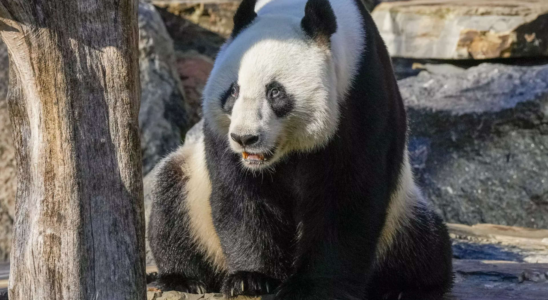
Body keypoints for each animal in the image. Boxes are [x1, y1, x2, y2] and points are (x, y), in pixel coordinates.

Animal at [147, 0, 454, 298]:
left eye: (275, 92)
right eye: (233, 91)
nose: (245, 138)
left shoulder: (362, 95)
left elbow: (348, 195)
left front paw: (316, 286)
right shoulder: (222, 133)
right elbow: (240, 194)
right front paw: (251, 278)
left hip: (402, 214)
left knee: (425, 246)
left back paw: (404, 288)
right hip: (193, 193)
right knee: (170, 202)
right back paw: (184, 279)